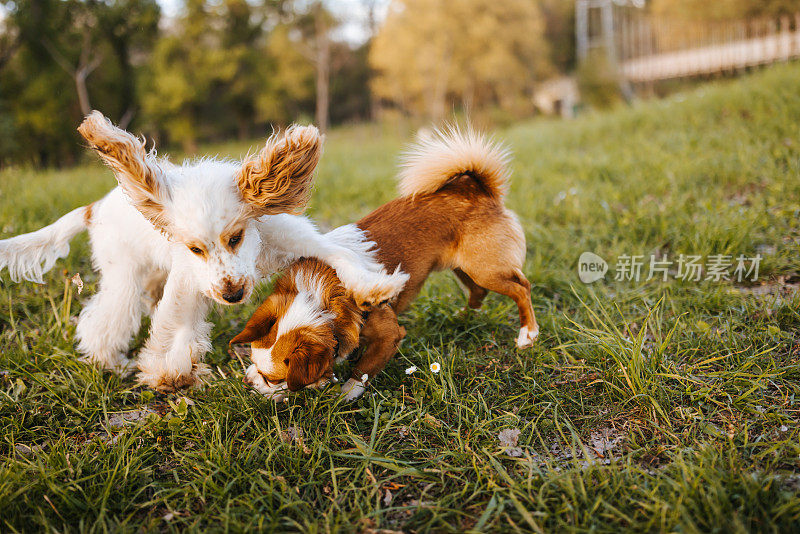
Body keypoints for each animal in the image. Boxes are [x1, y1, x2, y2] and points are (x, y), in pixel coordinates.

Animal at [230, 126, 536, 402]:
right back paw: (463, 318)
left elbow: (364, 369)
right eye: (254, 364)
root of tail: (474, 189)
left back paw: (527, 335)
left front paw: (346, 393)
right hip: (462, 267)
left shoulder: (389, 336)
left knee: (521, 288)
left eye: (274, 379)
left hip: (485, 269)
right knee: (478, 291)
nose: (248, 382)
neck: (321, 301)